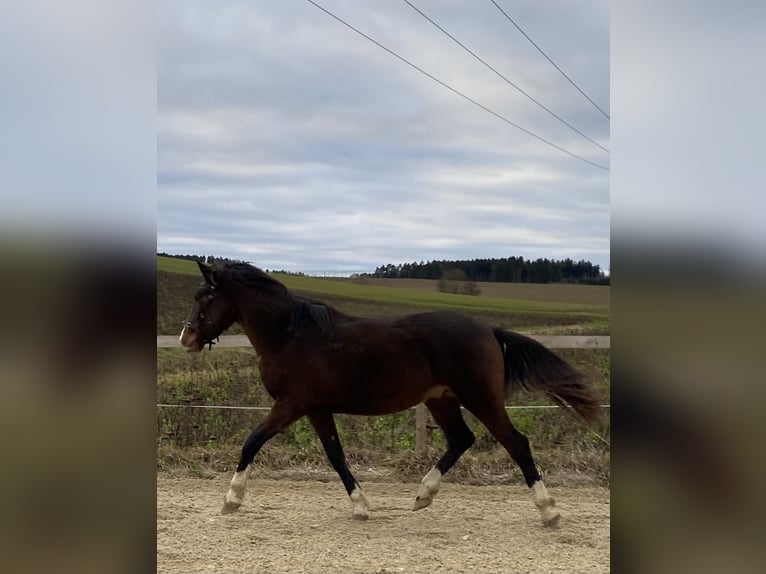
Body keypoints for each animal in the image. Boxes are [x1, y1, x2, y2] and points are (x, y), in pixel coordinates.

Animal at [178, 264, 600, 528]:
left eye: (205, 297)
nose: (187, 337)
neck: (290, 334)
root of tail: (489, 330)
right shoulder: (316, 409)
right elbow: (335, 456)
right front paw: (362, 507)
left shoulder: (292, 404)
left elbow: (251, 442)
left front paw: (231, 500)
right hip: (441, 399)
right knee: (461, 439)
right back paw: (422, 496)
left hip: (480, 398)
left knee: (516, 443)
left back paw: (549, 512)